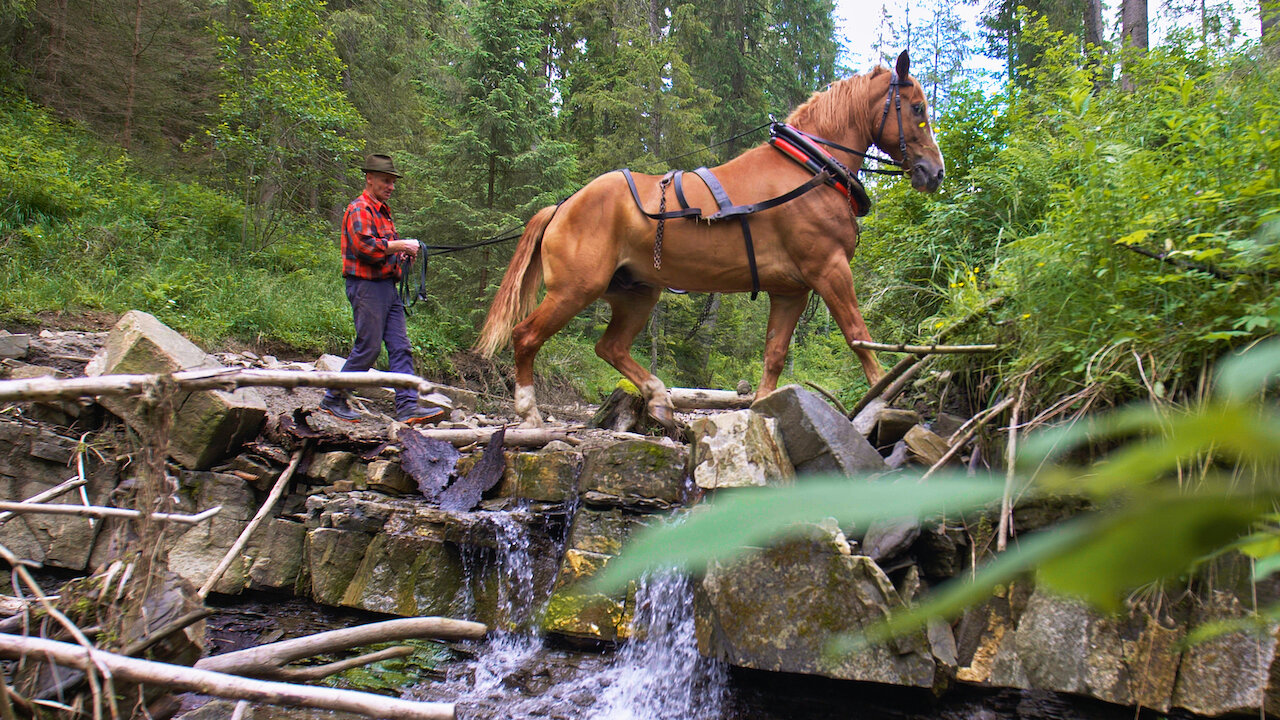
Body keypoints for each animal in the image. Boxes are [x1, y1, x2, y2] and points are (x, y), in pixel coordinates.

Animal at [476, 53, 947, 427]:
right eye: (917, 107)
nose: (934, 172)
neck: (809, 169)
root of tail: (562, 206)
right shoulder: (828, 268)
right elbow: (856, 334)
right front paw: (884, 394)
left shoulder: (790, 290)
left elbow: (774, 354)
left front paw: (762, 410)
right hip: (576, 289)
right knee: (526, 337)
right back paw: (529, 413)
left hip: (637, 293)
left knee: (609, 346)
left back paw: (659, 397)